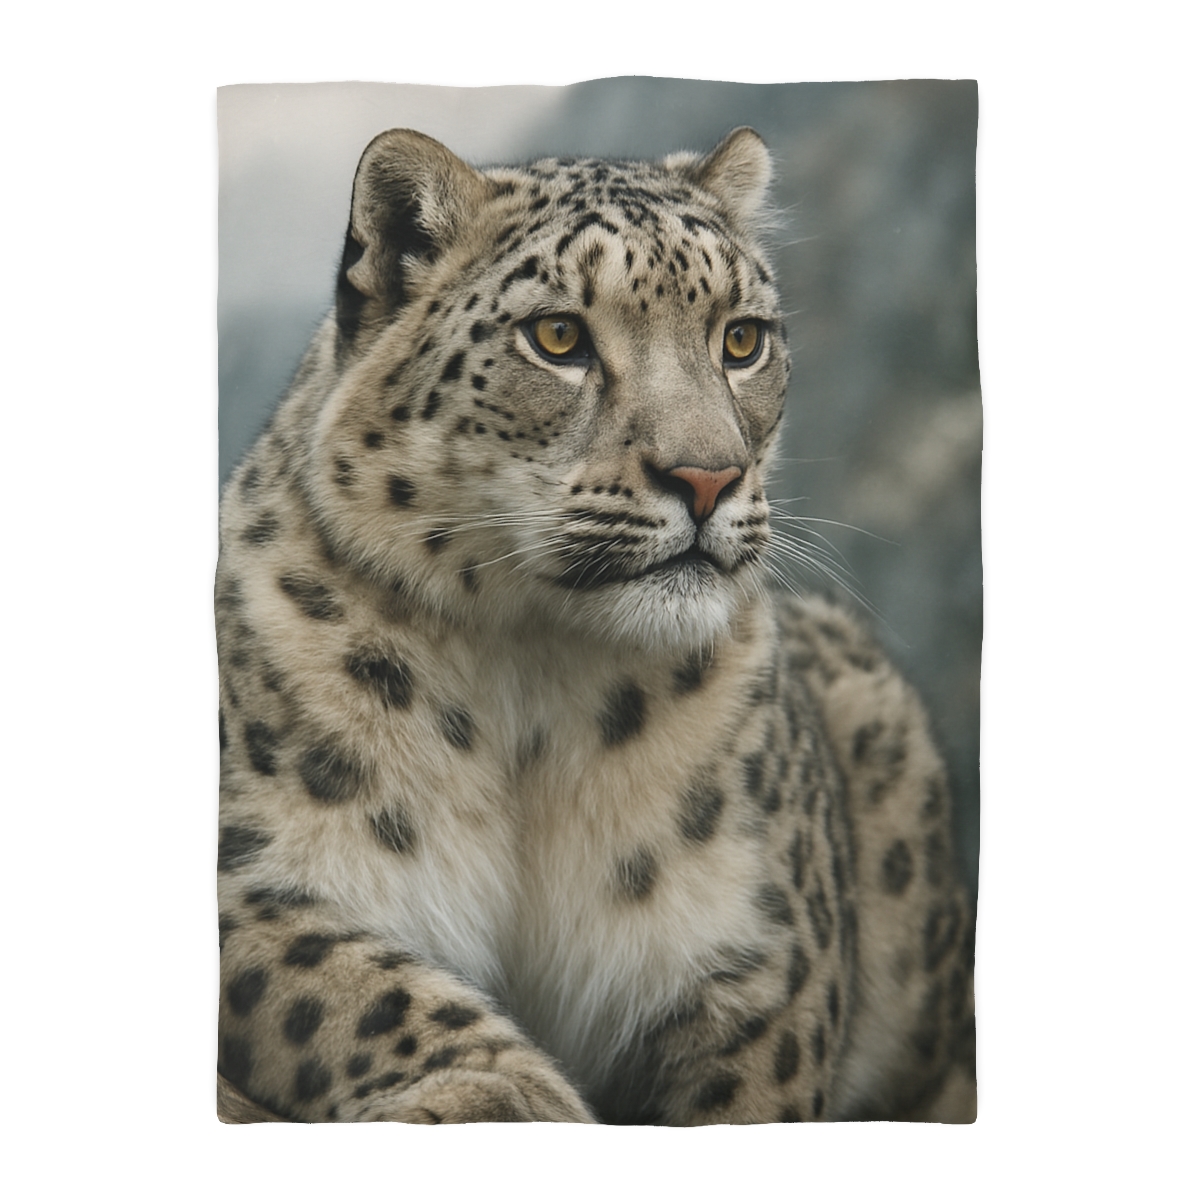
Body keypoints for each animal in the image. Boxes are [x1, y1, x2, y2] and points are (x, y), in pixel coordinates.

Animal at [215, 126, 976, 1125]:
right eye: (558, 336)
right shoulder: (253, 876)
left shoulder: (758, 944)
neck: (534, 684)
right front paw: (500, 1097)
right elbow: (357, 989)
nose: (708, 476)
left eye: (741, 339)